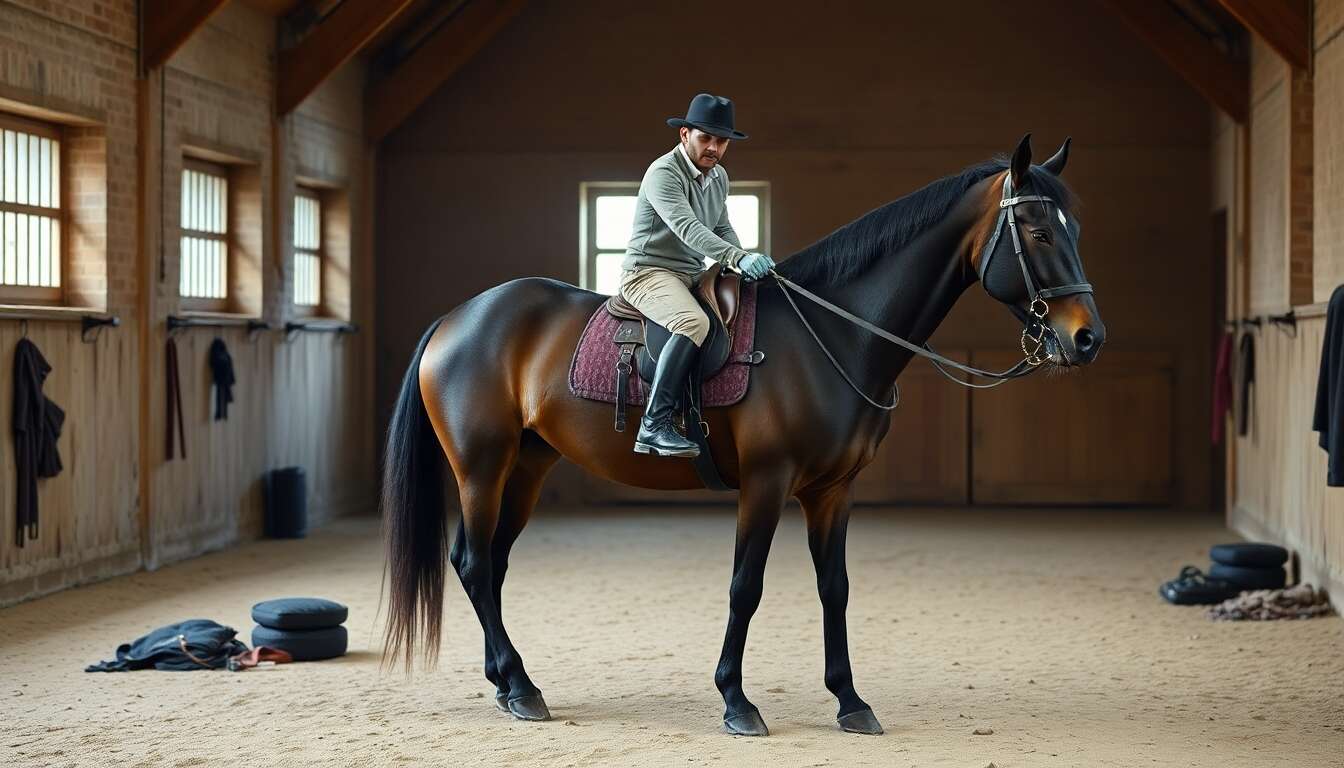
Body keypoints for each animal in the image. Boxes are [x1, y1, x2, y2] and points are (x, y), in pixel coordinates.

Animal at [381, 133, 1105, 737]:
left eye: (1073, 227)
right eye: (1039, 230)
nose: (1087, 338)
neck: (834, 333)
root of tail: (460, 316)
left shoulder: (833, 491)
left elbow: (835, 589)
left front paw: (850, 701)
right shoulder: (766, 482)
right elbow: (745, 586)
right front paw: (736, 701)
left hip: (528, 467)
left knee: (492, 564)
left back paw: (508, 684)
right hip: (482, 466)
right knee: (474, 563)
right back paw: (523, 688)